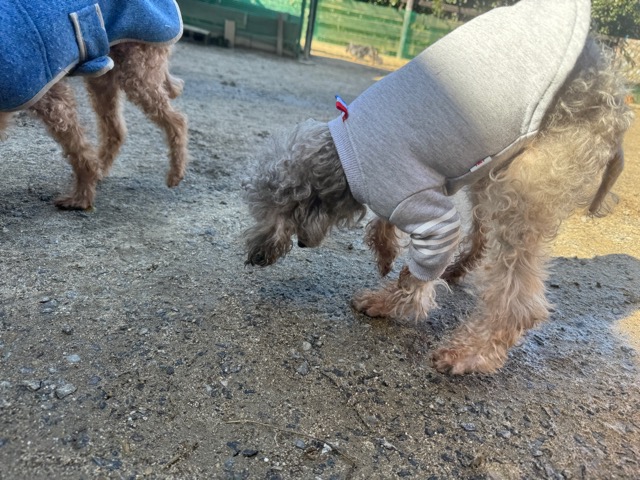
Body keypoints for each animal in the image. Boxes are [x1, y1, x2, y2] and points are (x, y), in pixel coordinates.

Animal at [0, 0, 188, 210]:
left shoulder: (51, 99)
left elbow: (78, 150)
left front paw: (81, 199)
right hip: (104, 76)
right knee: (116, 130)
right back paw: (101, 169)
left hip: (138, 69)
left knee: (177, 121)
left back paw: (176, 173)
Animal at [243, 0, 634, 374]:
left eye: (269, 213)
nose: (255, 259)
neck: (342, 154)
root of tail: (613, 93)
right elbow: (382, 228)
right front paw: (385, 253)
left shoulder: (418, 205)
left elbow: (415, 277)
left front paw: (389, 301)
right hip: (493, 166)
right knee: (482, 236)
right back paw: (457, 270)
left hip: (525, 183)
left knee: (517, 298)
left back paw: (472, 352)